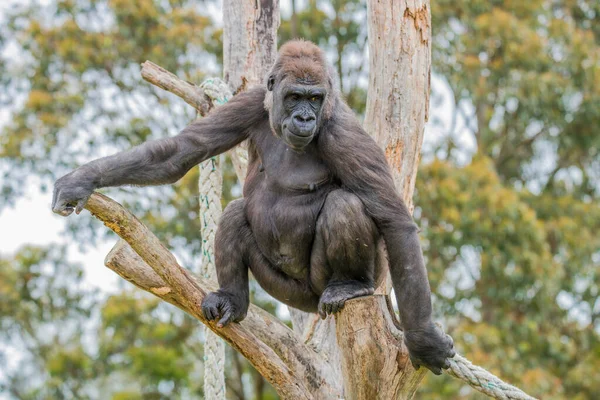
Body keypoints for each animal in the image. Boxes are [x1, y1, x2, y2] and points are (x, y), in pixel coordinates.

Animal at [52, 39, 454, 372]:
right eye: (294, 96)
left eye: (315, 99)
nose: (305, 117)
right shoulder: (250, 101)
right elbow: (181, 152)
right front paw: (83, 179)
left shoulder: (344, 133)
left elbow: (393, 219)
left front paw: (422, 339)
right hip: (285, 291)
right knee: (234, 211)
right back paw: (234, 300)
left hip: (323, 290)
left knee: (345, 205)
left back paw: (351, 285)